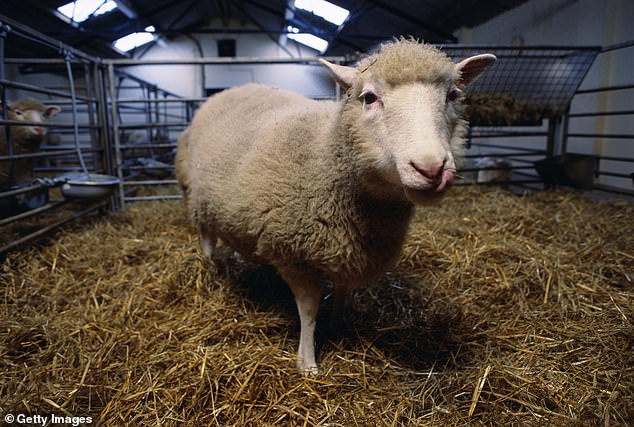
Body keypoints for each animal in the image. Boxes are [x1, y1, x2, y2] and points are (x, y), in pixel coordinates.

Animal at [174, 40, 494, 374]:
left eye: (452, 96)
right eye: (369, 97)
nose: (431, 168)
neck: (324, 153)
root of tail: (231, 89)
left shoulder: (349, 250)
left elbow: (342, 290)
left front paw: (337, 326)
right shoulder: (294, 256)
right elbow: (308, 310)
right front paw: (307, 362)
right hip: (196, 197)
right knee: (207, 241)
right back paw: (211, 272)